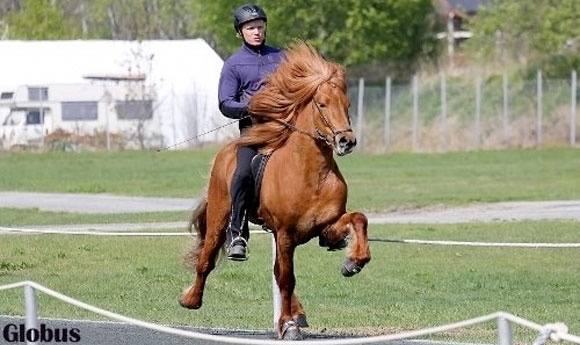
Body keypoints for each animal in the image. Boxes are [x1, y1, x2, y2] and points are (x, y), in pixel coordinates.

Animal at [179, 41, 372, 340]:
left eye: (347, 105)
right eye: (322, 104)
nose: (346, 141)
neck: (311, 174)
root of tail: (226, 152)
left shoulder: (325, 226)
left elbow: (359, 219)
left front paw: (353, 262)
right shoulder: (285, 234)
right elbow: (285, 279)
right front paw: (288, 326)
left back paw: (299, 313)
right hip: (220, 218)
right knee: (206, 258)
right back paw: (191, 299)